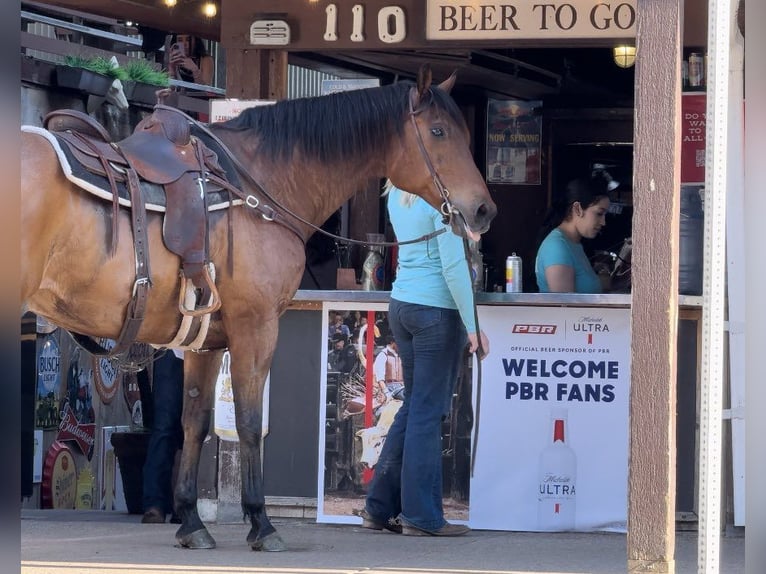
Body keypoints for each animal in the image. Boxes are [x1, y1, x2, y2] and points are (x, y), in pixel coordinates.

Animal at [21, 66, 498, 552]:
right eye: (438, 131)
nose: (483, 209)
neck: (258, 186)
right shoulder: (256, 328)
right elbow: (249, 422)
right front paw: (261, 522)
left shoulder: (204, 343)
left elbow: (195, 424)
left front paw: (191, 522)